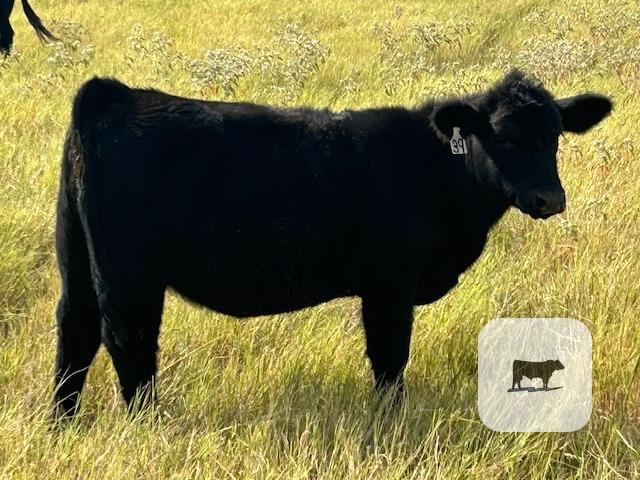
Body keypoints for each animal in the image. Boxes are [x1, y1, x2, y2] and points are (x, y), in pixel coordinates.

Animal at [52, 69, 611, 417]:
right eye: (504, 137)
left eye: (556, 136)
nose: (550, 199)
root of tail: (113, 93)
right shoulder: (389, 286)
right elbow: (390, 358)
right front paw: (390, 423)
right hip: (130, 278)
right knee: (128, 343)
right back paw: (147, 424)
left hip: (77, 262)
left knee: (75, 334)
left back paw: (64, 423)